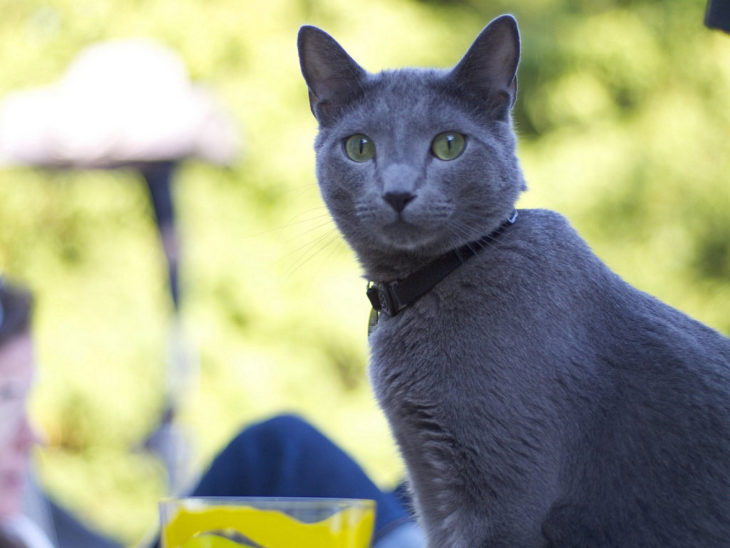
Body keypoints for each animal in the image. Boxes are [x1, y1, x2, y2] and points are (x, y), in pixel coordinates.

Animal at [296, 15, 728, 544]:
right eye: (359, 147)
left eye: (449, 145)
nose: (398, 193)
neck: (437, 277)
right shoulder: (428, 481)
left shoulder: (500, 496)